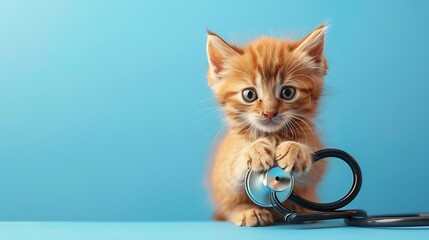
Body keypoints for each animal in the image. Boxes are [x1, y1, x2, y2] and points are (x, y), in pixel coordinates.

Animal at [206, 25, 326, 226]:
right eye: (249, 95)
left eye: (288, 92)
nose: (269, 112)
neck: (272, 135)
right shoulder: (223, 171)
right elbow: (232, 170)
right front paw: (255, 151)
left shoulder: (316, 161)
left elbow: (312, 169)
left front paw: (295, 150)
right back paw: (249, 211)